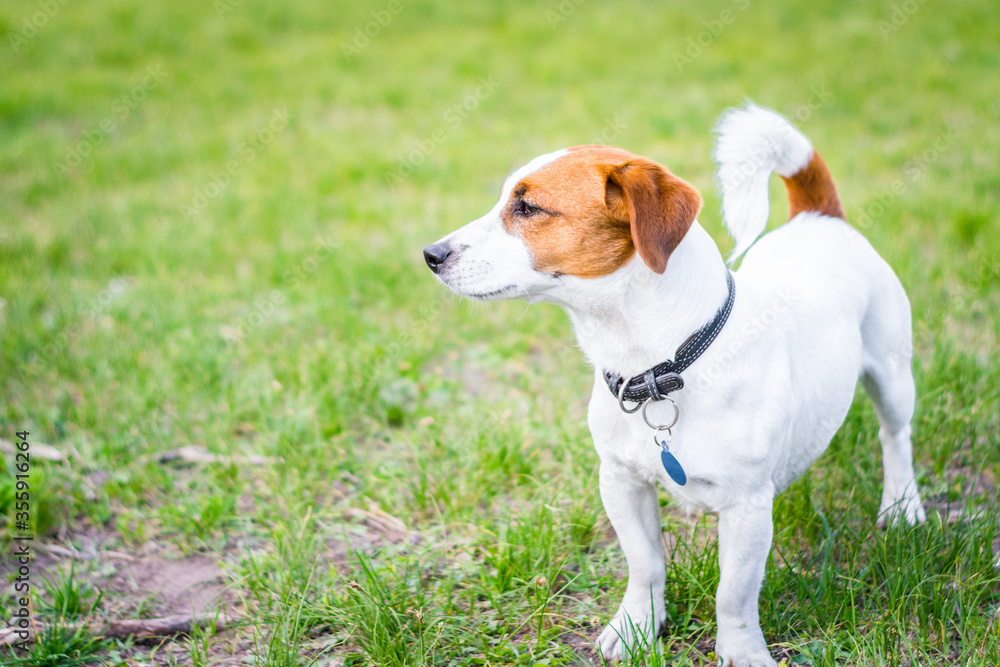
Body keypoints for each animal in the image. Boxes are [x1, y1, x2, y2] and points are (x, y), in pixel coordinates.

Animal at [422, 102, 928, 664]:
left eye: (529, 207)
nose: (431, 254)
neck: (660, 368)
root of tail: (819, 217)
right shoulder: (621, 481)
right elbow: (645, 564)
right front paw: (636, 627)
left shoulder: (748, 508)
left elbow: (733, 594)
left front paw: (741, 650)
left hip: (891, 373)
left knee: (895, 436)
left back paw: (902, 505)